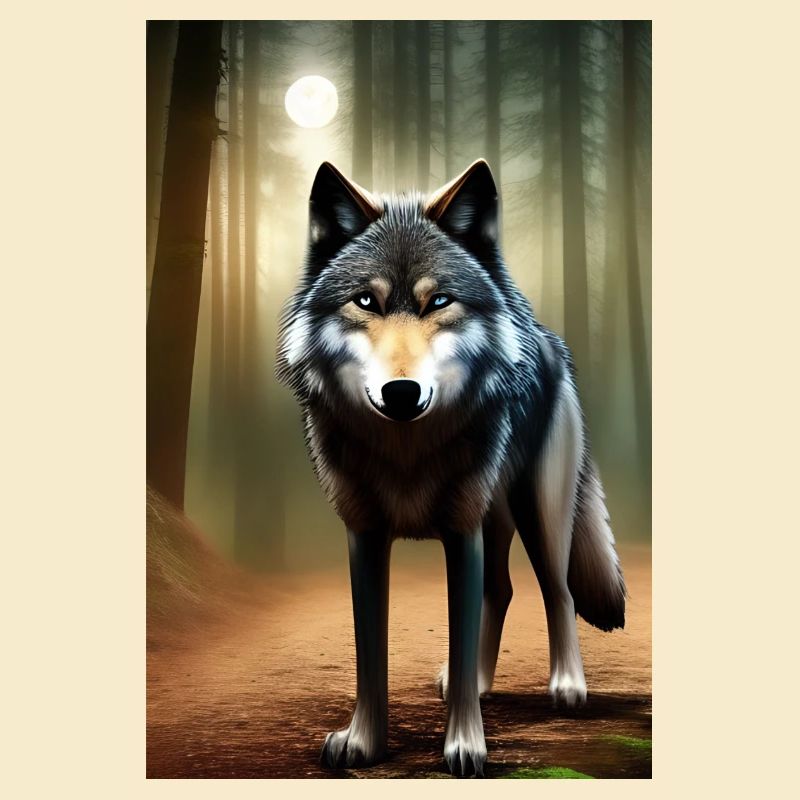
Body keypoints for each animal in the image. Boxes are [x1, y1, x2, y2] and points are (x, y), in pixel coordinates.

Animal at [276, 159, 626, 777]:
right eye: (365, 301)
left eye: (438, 301)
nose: (401, 393)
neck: (406, 451)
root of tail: (548, 338)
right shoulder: (365, 536)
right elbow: (370, 652)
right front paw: (364, 743)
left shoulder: (461, 533)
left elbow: (461, 640)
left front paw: (465, 746)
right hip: (495, 519)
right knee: (502, 591)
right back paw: (487, 683)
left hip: (538, 512)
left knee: (557, 591)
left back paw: (567, 686)